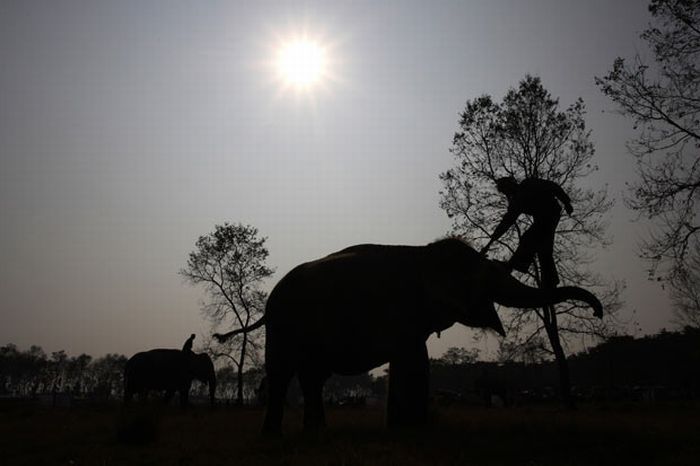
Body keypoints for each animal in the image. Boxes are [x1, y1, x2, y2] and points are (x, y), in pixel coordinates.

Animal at [215, 238, 600, 432]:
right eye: (484, 278)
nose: (597, 310)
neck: (424, 254)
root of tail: (268, 303)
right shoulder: (402, 312)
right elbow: (413, 358)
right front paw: (411, 429)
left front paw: (404, 426)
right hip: (284, 326)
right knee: (281, 373)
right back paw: (273, 434)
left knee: (312, 377)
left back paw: (317, 432)